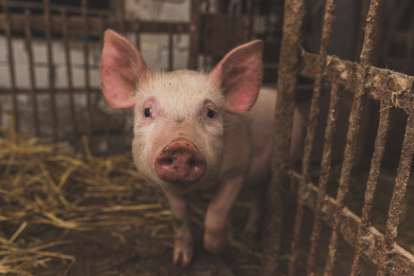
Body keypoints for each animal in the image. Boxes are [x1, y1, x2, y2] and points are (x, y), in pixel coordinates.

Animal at [99, 29, 302, 266]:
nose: (181, 146)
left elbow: (216, 213)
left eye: (211, 113)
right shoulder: (168, 186)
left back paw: (248, 236)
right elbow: (179, 217)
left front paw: (214, 249)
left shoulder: (238, 170)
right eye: (147, 111)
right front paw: (181, 261)